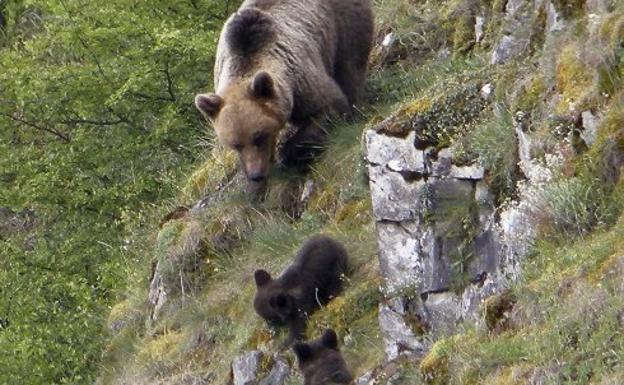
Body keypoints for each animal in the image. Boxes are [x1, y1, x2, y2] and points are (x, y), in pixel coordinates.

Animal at [195, 0, 372, 192]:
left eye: (258, 136)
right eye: (236, 144)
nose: (256, 175)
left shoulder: (300, 80)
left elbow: (329, 106)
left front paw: (288, 154)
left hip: (342, 22)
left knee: (350, 63)